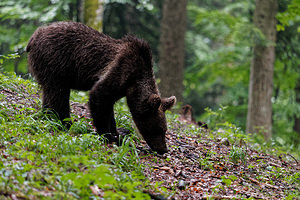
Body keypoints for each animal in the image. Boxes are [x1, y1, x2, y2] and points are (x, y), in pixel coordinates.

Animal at [26, 21, 176, 154]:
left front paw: (118, 132)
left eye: (164, 130)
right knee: (59, 93)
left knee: (49, 92)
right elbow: (99, 96)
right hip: (56, 62)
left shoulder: (121, 88)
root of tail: (34, 36)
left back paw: (48, 114)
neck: (135, 84)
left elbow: (109, 108)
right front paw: (107, 135)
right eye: (158, 129)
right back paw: (66, 122)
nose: (163, 149)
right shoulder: (121, 70)